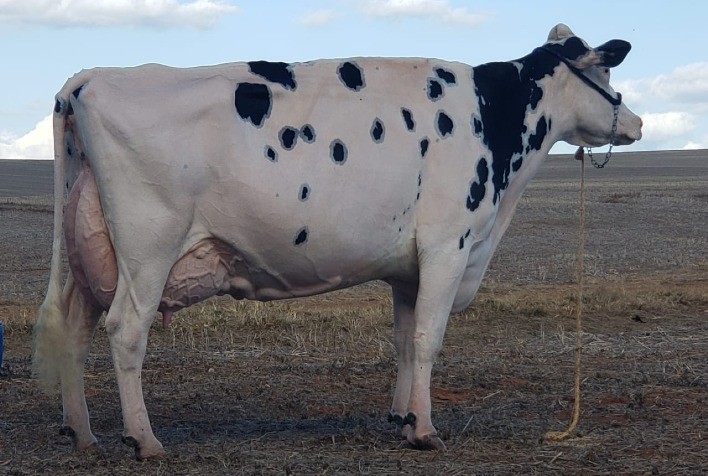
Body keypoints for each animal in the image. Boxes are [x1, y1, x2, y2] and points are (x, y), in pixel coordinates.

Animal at [34, 24, 642, 459]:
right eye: (608, 77)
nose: (635, 123)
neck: (492, 119)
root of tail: (87, 80)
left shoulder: (408, 267)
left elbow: (403, 340)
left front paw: (402, 418)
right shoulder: (448, 245)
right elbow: (429, 339)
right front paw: (426, 431)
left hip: (88, 247)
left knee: (74, 327)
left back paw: (81, 432)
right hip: (148, 245)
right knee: (124, 329)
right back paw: (144, 440)